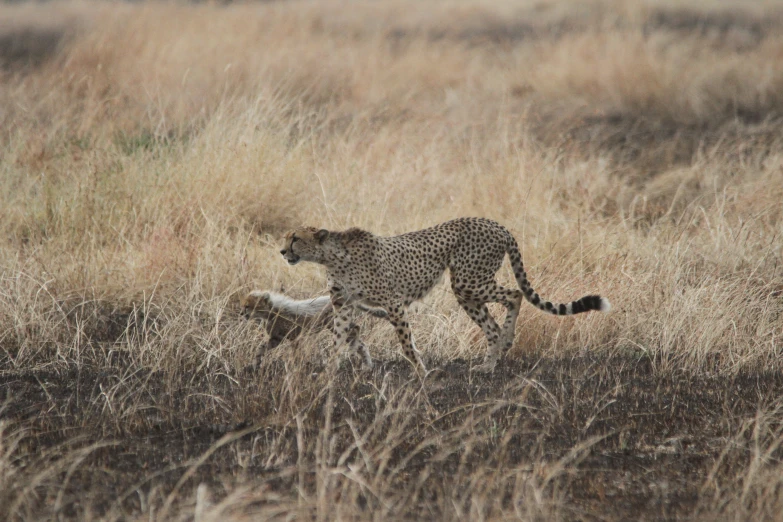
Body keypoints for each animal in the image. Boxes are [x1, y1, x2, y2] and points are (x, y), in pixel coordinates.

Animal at [239, 288, 386, 366]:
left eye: (248, 306)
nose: (241, 313)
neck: (272, 312)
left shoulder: (295, 337)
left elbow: (295, 352)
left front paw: (295, 366)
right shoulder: (276, 338)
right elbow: (261, 347)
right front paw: (256, 362)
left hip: (333, 323)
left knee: (356, 329)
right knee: (360, 342)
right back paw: (367, 365)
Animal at [282, 215, 612, 370]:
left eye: (295, 238)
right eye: (287, 238)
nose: (282, 251)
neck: (332, 257)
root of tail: (496, 224)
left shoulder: (393, 302)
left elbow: (405, 342)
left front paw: (420, 371)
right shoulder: (344, 304)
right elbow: (337, 341)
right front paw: (328, 376)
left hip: (468, 280)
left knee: (514, 295)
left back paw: (503, 345)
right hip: (467, 289)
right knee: (491, 325)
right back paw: (490, 361)